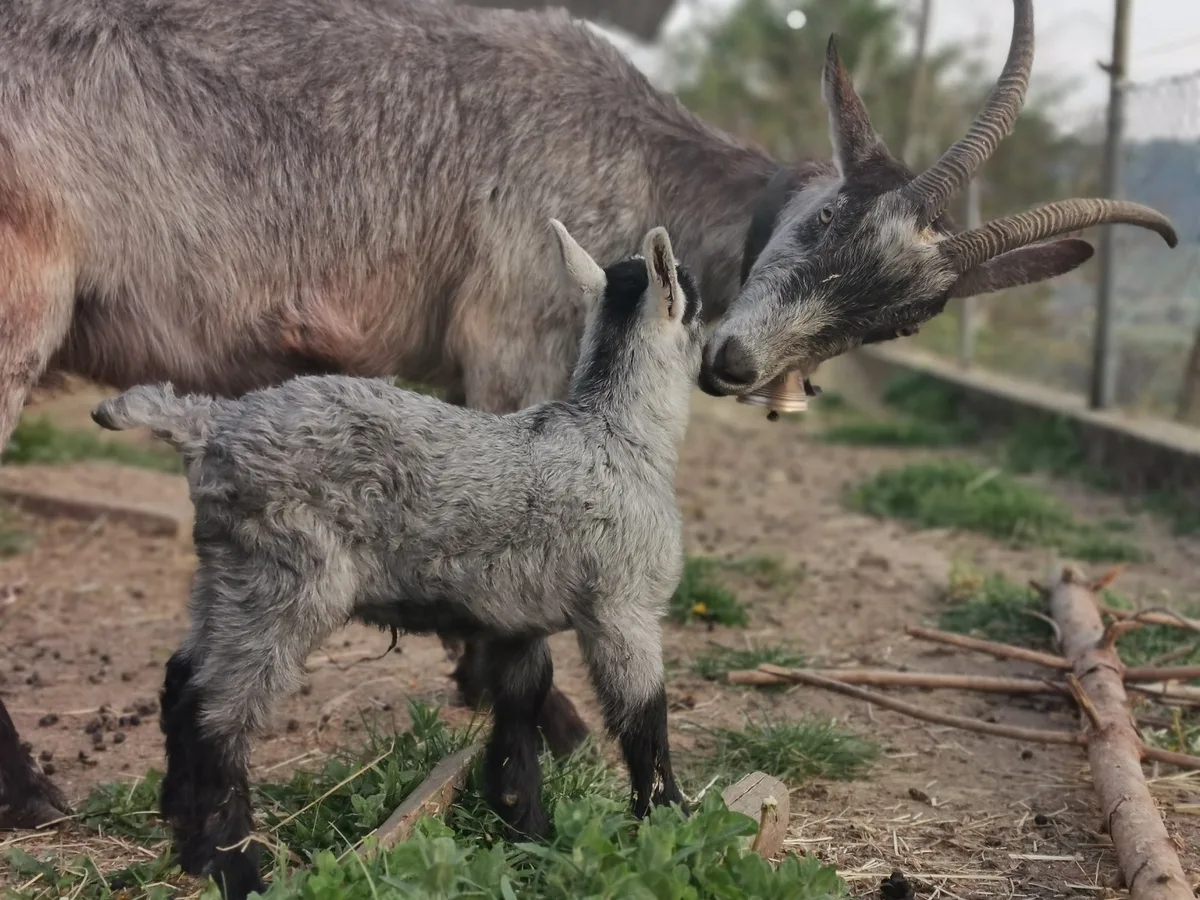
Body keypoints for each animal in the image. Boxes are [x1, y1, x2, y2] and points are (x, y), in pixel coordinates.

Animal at [0, 0, 1177, 827]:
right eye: (825, 217)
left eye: (901, 315)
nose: (737, 363)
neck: (634, 145)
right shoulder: (517, 328)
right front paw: (552, 726)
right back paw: (33, 794)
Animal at [89, 222, 701, 900]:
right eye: (696, 302)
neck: (617, 433)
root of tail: (210, 424)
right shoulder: (625, 609)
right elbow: (643, 719)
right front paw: (666, 826)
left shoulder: (516, 621)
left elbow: (519, 715)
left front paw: (528, 834)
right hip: (287, 580)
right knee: (215, 715)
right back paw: (238, 869)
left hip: (225, 575)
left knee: (180, 681)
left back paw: (188, 843)